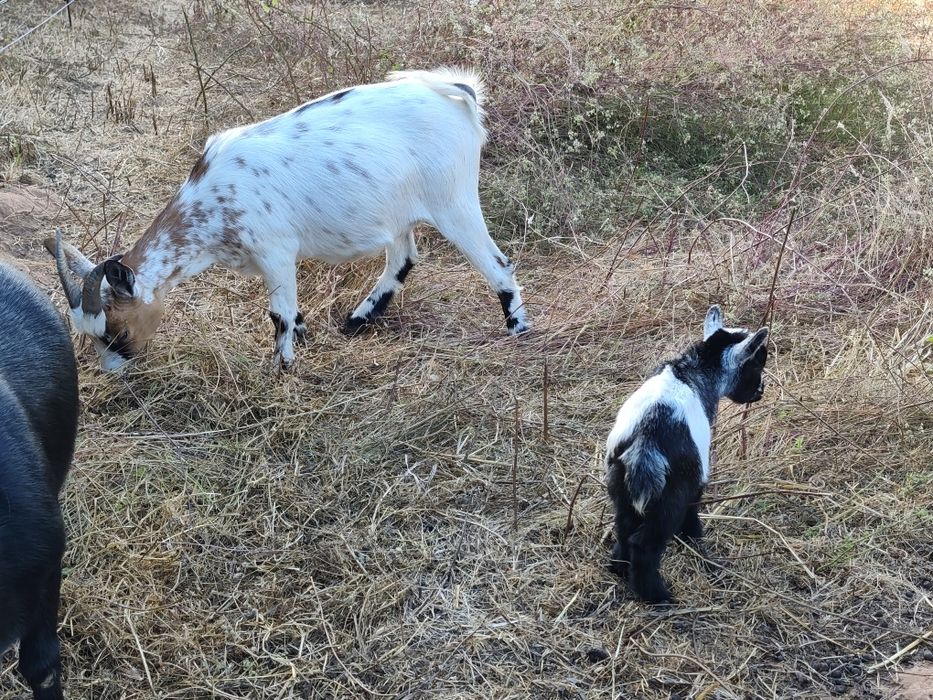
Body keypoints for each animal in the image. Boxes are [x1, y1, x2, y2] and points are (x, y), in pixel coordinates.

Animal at [45, 67, 528, 372]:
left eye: (114, 332)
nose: (112, 371)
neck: (213, 195)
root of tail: (458, 94)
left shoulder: (275, 251)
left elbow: (278, 314)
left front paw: (282, 367)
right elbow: (291, 313)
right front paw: (303, 337)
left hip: (454, 200)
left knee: (497, 263)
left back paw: (518, 329)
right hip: (398, 211)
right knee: (403, 257)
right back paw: (357, 320)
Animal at [605, 305, 769, 603]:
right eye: (755, 364)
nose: (760, 392)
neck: (693, 371)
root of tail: (647, 440)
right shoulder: (697, 476)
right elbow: (694, 510)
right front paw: (695, 539)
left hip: (619, 482)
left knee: (623, 526)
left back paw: (619, 568)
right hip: (671, 494)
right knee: (644, 542)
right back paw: (659, 597)